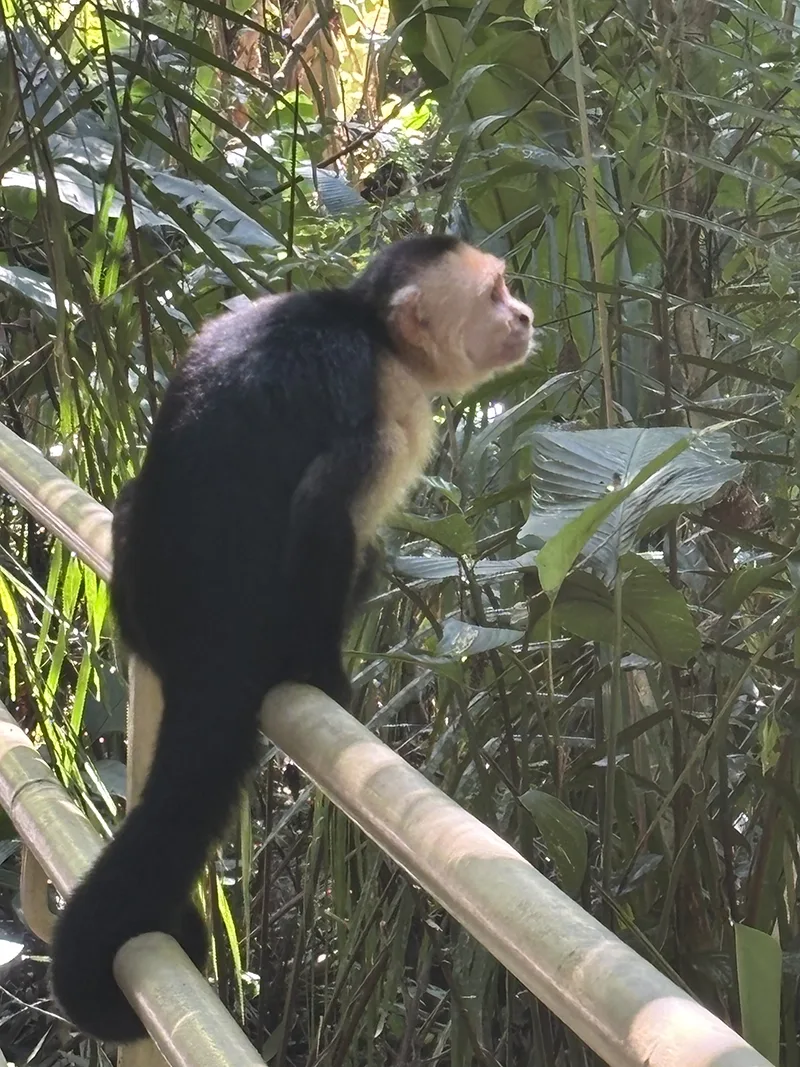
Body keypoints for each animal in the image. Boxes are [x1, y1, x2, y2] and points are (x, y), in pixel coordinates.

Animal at [49, 234, 534, 1043]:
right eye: (496, 294)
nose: (524, 314)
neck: (368, 326)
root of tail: (204, 655)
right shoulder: (387, 399)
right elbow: (324, 506)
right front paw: (324, 676)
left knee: (132, 503)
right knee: (352, 536)